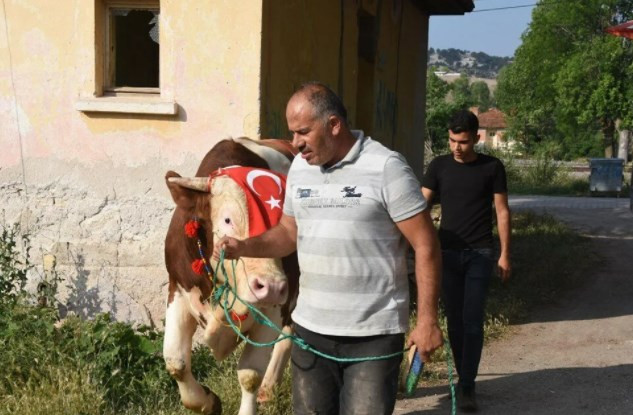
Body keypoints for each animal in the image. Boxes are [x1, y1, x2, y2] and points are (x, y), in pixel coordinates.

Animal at [165, 139, 298, 415]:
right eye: (227, 220)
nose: (271, 286)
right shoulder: (178, 290)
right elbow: (176, 362)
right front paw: (207, 402)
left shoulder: (274, 309)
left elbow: (249, 374)